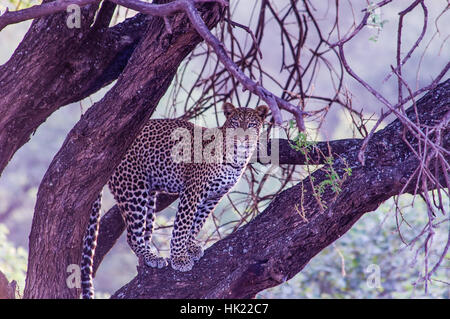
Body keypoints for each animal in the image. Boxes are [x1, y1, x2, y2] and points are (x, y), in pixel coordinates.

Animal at [79, 103, 268, 300]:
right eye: (236, 123)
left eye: (252, 125)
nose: (244, 138)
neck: (238, 158)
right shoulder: (192, 190)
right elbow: (182, 226)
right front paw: (179, 258)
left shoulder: (213, 197)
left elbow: (197, 223)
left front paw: (190, 246)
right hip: (132, 188)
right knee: (132, 235)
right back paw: (151, 257)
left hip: (149, 196)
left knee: (145, 230)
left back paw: (150, 257)